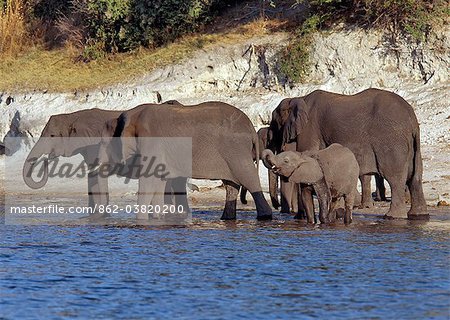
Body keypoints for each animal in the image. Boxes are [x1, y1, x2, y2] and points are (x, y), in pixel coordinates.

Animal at [103, 101, 272, 221]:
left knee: (249, 179)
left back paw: (265, 217)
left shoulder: (151, 141)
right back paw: (227, 219)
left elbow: (149, 180)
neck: (132, 114)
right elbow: (158, 180)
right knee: (231, 185)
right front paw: (157, 218)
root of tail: (250, 127)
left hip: (236, 150)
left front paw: (141, 220)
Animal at [280, 89, 428, 221]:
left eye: (276, 124)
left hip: (392, 142)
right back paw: (418, 215)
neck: (299, 98)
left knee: (395, 178)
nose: (296, 216)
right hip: (413, 145)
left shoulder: (310, 129)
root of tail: (411, 118)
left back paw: (392, 217)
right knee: (416, 177)